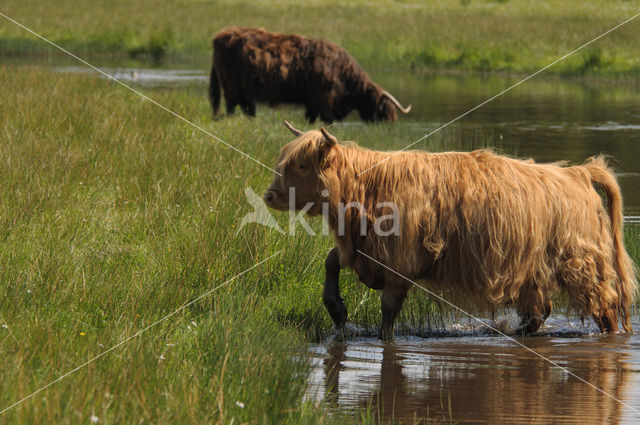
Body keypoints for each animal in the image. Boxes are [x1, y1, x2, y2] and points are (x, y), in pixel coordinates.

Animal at [208, 27, 412, 121]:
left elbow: (311, 118)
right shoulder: (324, 99)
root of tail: (219, 36)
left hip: (244, 90)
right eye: (383, 108)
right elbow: (327, 120)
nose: (390, 123)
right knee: (231, 105)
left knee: (247, 106)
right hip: (231, 85)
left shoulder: (312, 102)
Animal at [262, 121, 636, 340]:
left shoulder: (397, 262)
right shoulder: (364, 249)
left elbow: (388, 312)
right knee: (539, 311)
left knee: (604, 306)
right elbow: (330, 260)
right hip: (534, 270)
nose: (269, 195)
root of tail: (578, 172)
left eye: (301, 165)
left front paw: (381, 337)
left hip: (581, 265)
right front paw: (337, 311)